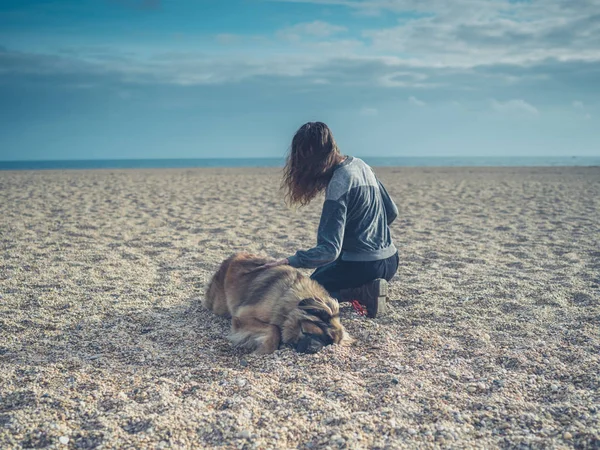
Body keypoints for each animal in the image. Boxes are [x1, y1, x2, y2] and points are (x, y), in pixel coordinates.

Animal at [202, 251, 352, 354]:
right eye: (324, 335)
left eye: (330, 343)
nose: (315, 350)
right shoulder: (243, 316)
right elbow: (274, 329)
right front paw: (264, 350)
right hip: (219, 306)